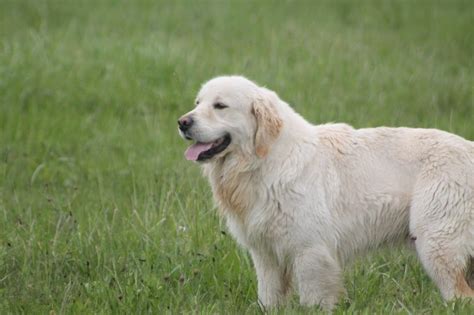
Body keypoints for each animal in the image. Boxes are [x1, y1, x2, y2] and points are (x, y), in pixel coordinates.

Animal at [179, 76, 474, 308]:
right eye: (197, 102)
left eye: (220, 106)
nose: (182, 122)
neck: (265, 162)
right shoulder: (266, 257)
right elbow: (269, 299)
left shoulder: (311, 252)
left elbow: (313, 300)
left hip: (436, 245)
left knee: (461, 297)